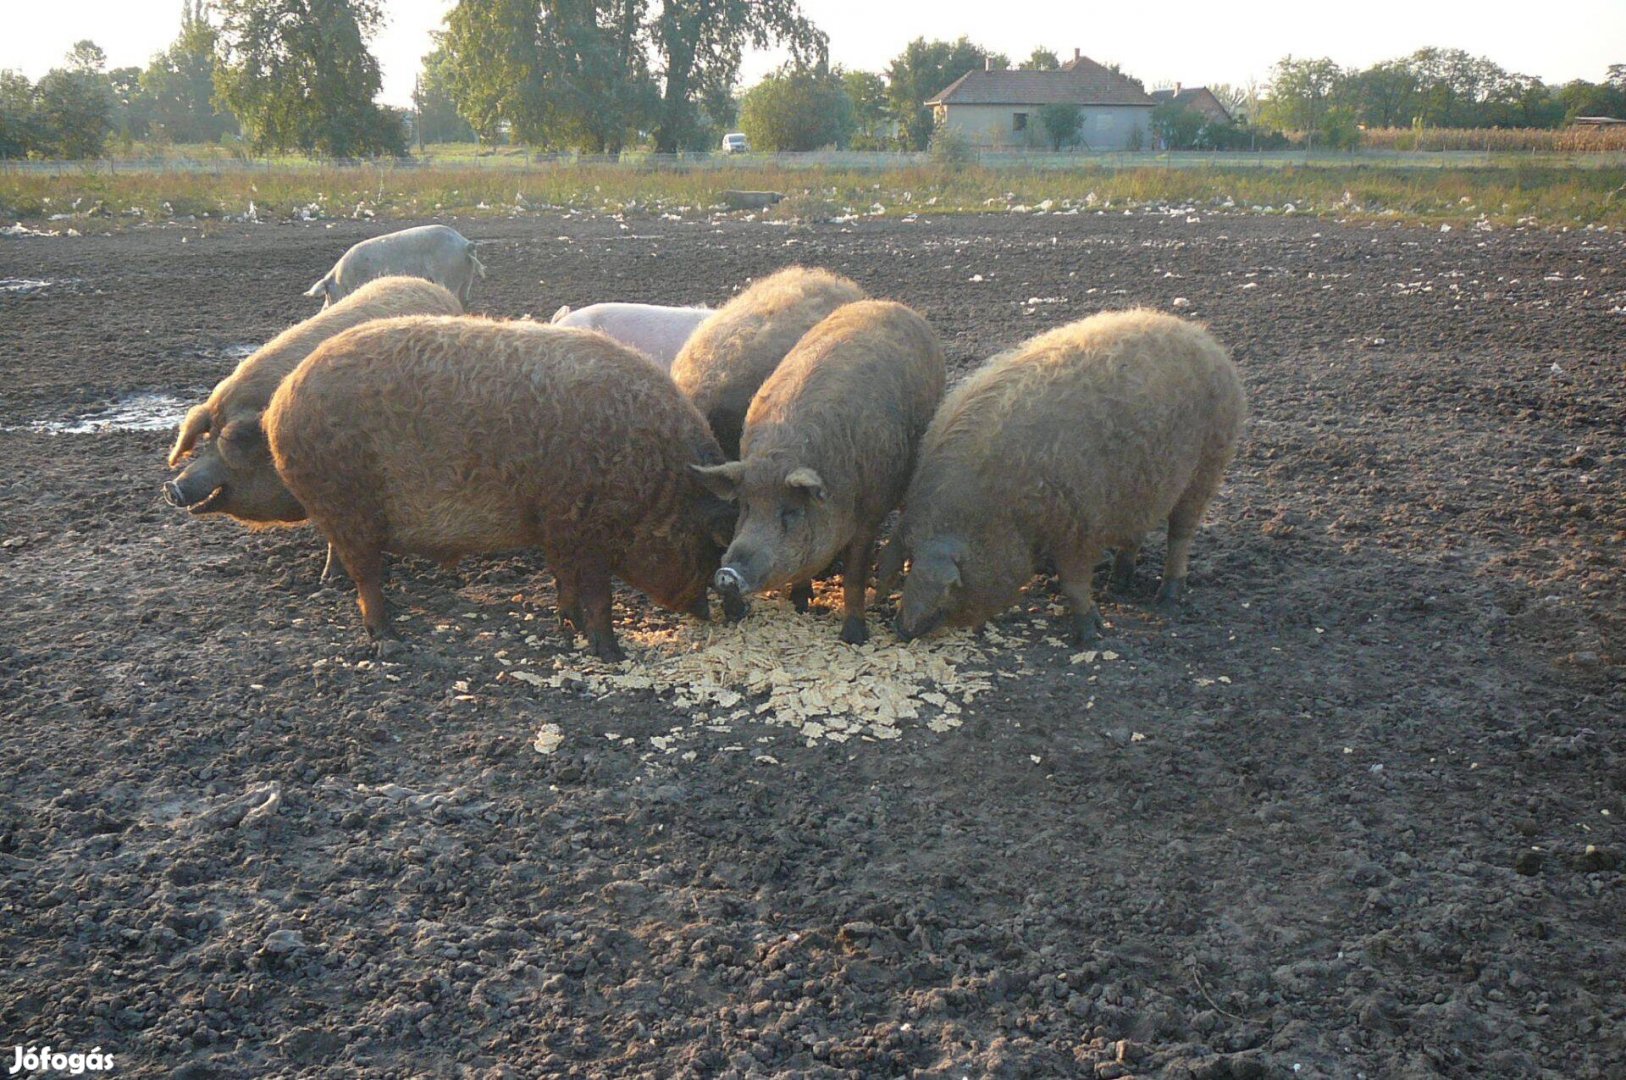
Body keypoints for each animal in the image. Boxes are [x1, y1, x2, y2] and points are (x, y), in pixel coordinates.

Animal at [263, 317, 741, 663]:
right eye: (710, 544)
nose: (716, 615)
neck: (656, 484)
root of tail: (279, 404)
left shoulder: (556, 525)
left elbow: (563, 580)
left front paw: (568, 626)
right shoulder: (586, 527)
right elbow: (598, 595)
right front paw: (613, 655)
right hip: (346, 504)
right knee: (367, 577)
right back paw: (391, 641)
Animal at [878, 305, 1242, 640]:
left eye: (953, 584)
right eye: (909, 560)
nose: (903, 628)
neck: (1000, 510)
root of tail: (1204, 339)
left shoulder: (1080, 526)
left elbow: (1074, 581)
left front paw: (1089, 635)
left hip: (1209, 464)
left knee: (1180, 533)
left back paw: (1166, 599)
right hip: (1141, 486)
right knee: (1136, 532)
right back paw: (1118, 584)